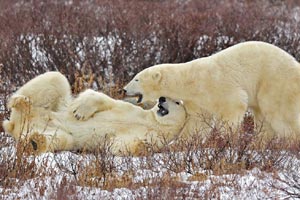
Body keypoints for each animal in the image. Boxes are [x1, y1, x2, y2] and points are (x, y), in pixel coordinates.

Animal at [2, 71, 188, 155]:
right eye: (163, 98)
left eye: (177, 102)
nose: (162, 99)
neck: (153, 122)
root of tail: (14, 125)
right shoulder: (131, 109)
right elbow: (106, 100)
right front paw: (80, 112)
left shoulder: (155, 135)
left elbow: (121, 144)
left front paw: (143, 146)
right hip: (44, 107)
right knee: (55, 78)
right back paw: (19, 101)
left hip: (51, 132)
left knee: (59, 139)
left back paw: (34, 142)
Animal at [123, 40, 300, 138]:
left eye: (136, 78)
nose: (124, 90)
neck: (191, 80)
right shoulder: (197, 99)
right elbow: (197, 122)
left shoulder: (216, 84)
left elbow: (233, 106)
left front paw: (223, 138)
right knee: (262, 117)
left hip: (275, 82)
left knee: (279, 113)